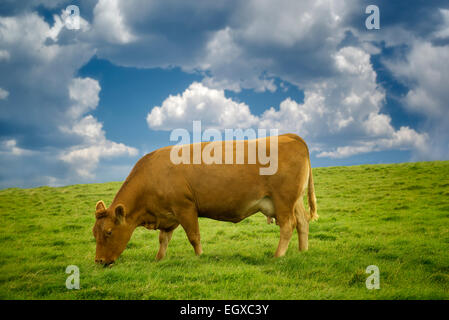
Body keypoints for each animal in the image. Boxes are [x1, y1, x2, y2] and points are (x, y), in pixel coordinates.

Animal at [92, 133, 316, 264]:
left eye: (109, 232)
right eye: (94, 233)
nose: (99, 261)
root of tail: (288, 136)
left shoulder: (185, 207)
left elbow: (194, 236)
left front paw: (200, 257)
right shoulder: (167, 215)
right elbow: (163, 239)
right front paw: (158, 259)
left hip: (283, 200)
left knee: (288, 225)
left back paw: (278, 255)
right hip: (294, 200)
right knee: (302, 223)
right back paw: (302, 251)